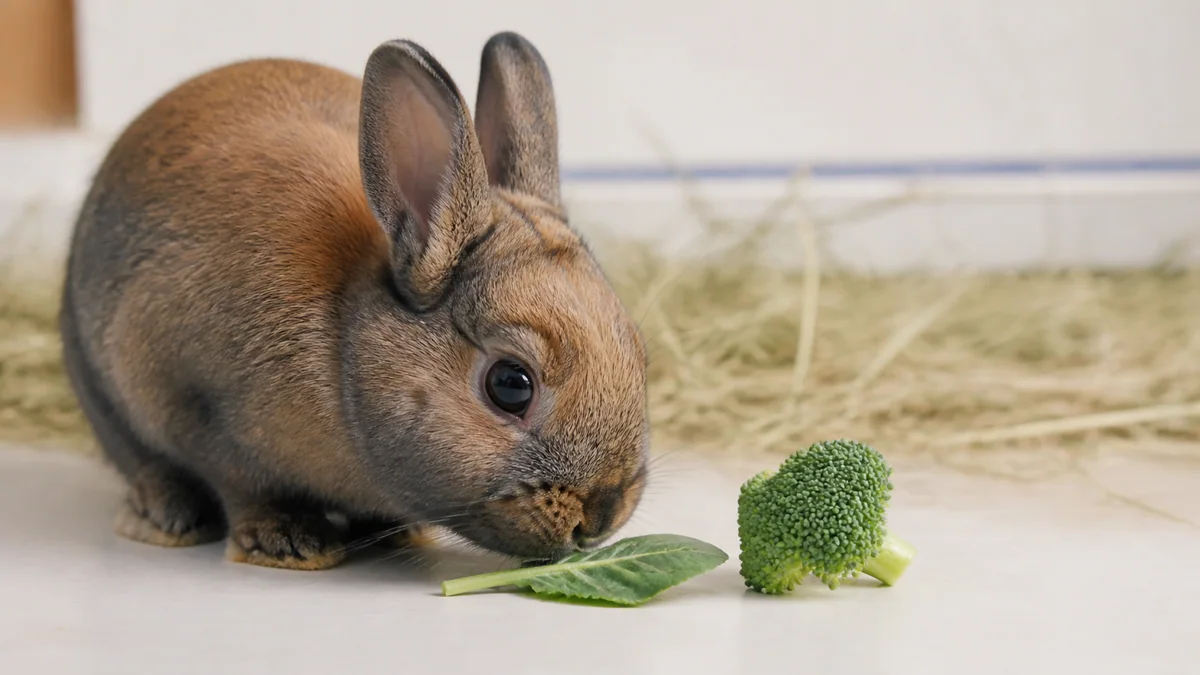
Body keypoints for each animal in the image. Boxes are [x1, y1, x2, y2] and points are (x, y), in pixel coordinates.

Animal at [59, 32, 650, 570]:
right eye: (510, 384)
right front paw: (289, 543)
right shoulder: (191, 400)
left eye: (639, 353)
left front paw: (393, 533)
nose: (604, 512)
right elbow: (245, 485)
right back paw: (166, 518)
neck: (343, 342)